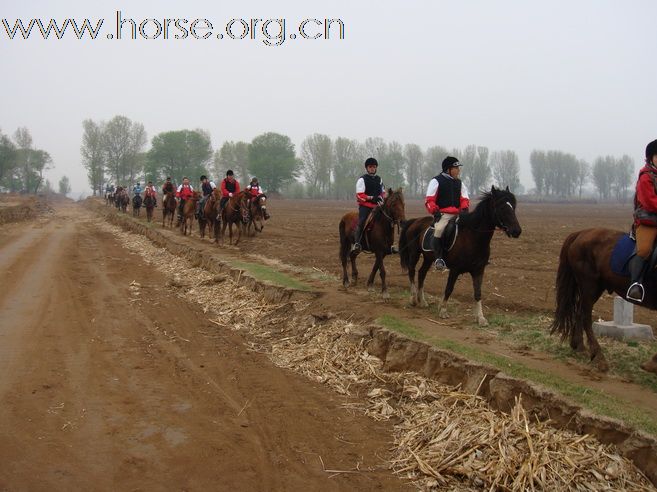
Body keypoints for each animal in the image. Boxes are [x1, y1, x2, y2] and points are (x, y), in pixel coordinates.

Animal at [398, 186, 520, 324]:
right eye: (501, 207)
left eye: (513, 206)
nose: (517, 231)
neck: (473, 237)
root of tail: (415, 221)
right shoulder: (455, 270)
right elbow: (449, 288)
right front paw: (443, 310)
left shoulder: (478, 270)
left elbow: (478, 292)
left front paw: (480, 317)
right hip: (414, 253)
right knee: (412, 271)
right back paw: (413, 299)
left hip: (428, 258)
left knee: (422, 273)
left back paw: (422, 301)